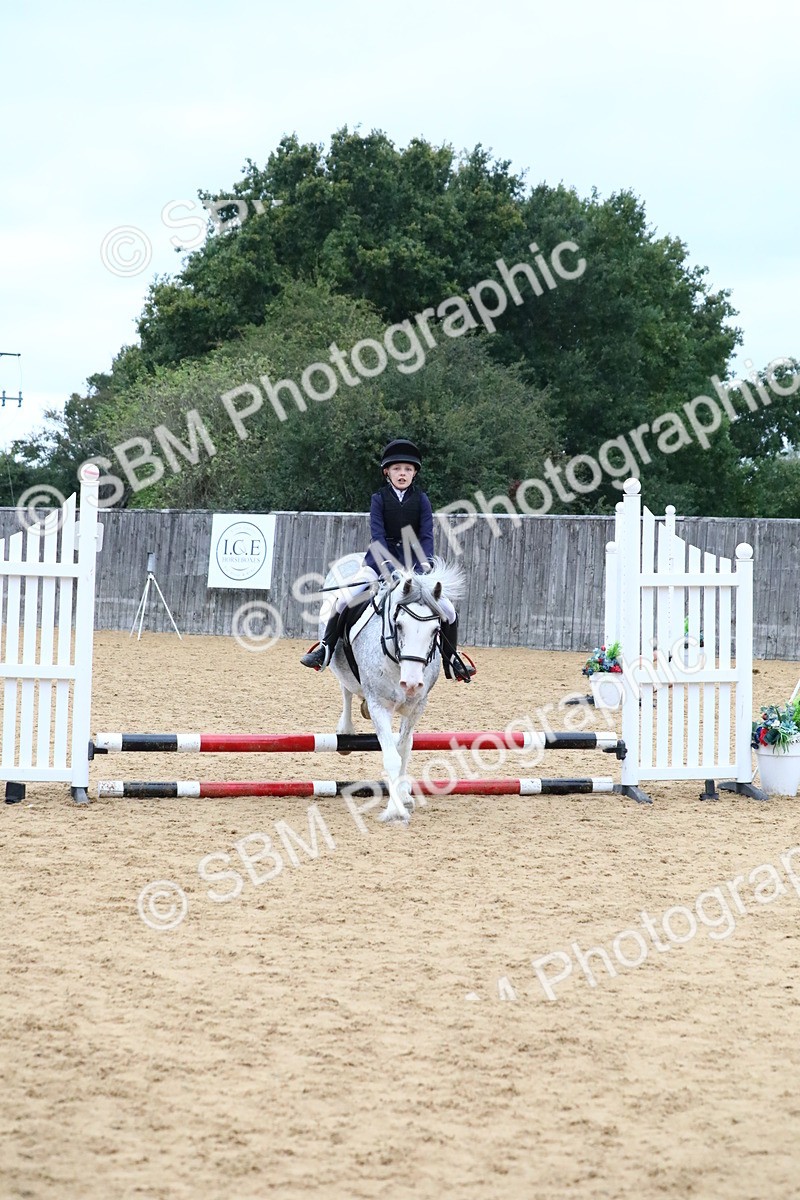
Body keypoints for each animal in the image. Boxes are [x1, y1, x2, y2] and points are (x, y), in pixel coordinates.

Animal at [319, 557, 466, 825]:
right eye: (398, 625)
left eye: (435, 630)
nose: (411, 684)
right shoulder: (379, 705)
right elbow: (391, 757)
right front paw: (395, 810)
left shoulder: (416, 706)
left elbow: (404, 749)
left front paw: (404, 796)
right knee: (346, 688)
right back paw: (345, 729)